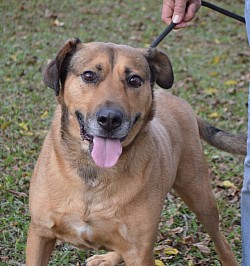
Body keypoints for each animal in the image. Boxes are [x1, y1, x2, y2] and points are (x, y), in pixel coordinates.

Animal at [26, 38, 245, 264]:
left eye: (134, 80)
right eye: (88, 75)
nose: (110, 120)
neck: (94, 174)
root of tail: (180, 101)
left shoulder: (139, 251)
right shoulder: (40, 233)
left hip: (200, 196)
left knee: (220, 240)